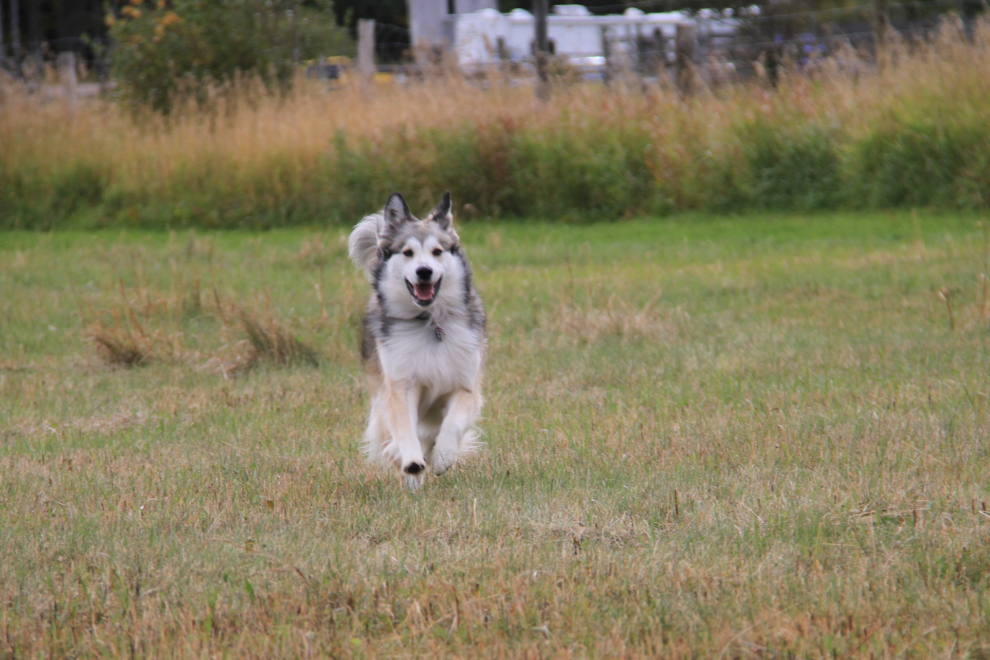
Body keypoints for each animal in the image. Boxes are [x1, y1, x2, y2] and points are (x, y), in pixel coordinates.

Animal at [348, 191, 488, 490]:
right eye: (407, 252)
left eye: (437, 251)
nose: (424, 271)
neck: (429, 322)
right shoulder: (401, 385)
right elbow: (405, 429)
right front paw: (410, 461)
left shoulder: (466, 385)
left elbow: (452, 423)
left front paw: (444, 455)